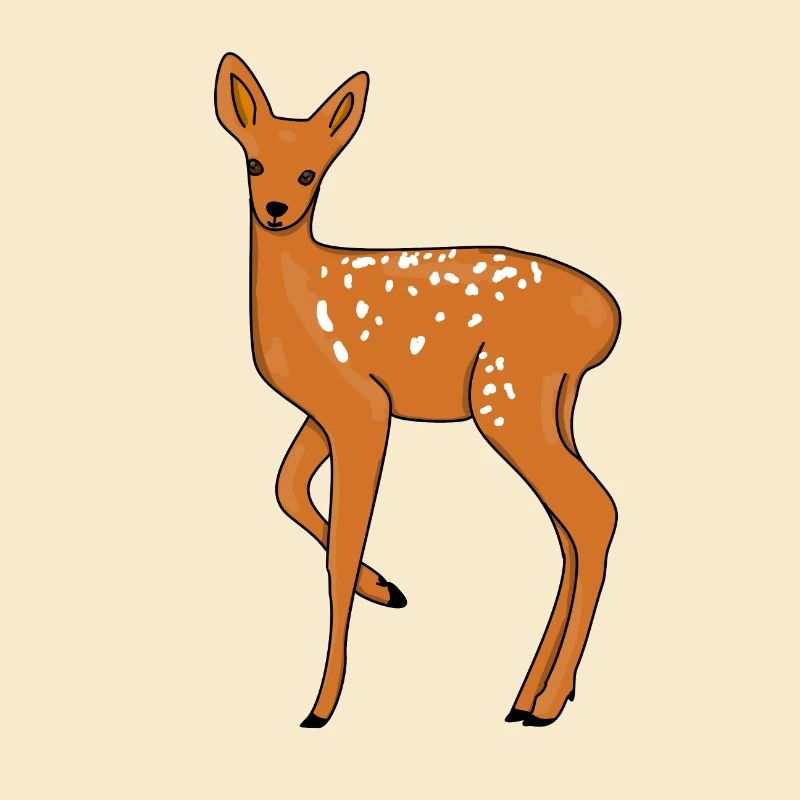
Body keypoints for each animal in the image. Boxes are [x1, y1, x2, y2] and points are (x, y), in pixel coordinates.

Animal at [214, 52, 621, 728]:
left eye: (310, 172)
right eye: (253, 162)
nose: (274, 208)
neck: (302, 294)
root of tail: (610, 317)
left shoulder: (362, 406)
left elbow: (340, 545)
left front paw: (322, 706)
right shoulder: (326, 409)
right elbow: (285, 486)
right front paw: (386, 589)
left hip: (505, 393)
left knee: (592, 511)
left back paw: (543, 703)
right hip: (554, 402)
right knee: (570, 527)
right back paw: (530, 696)